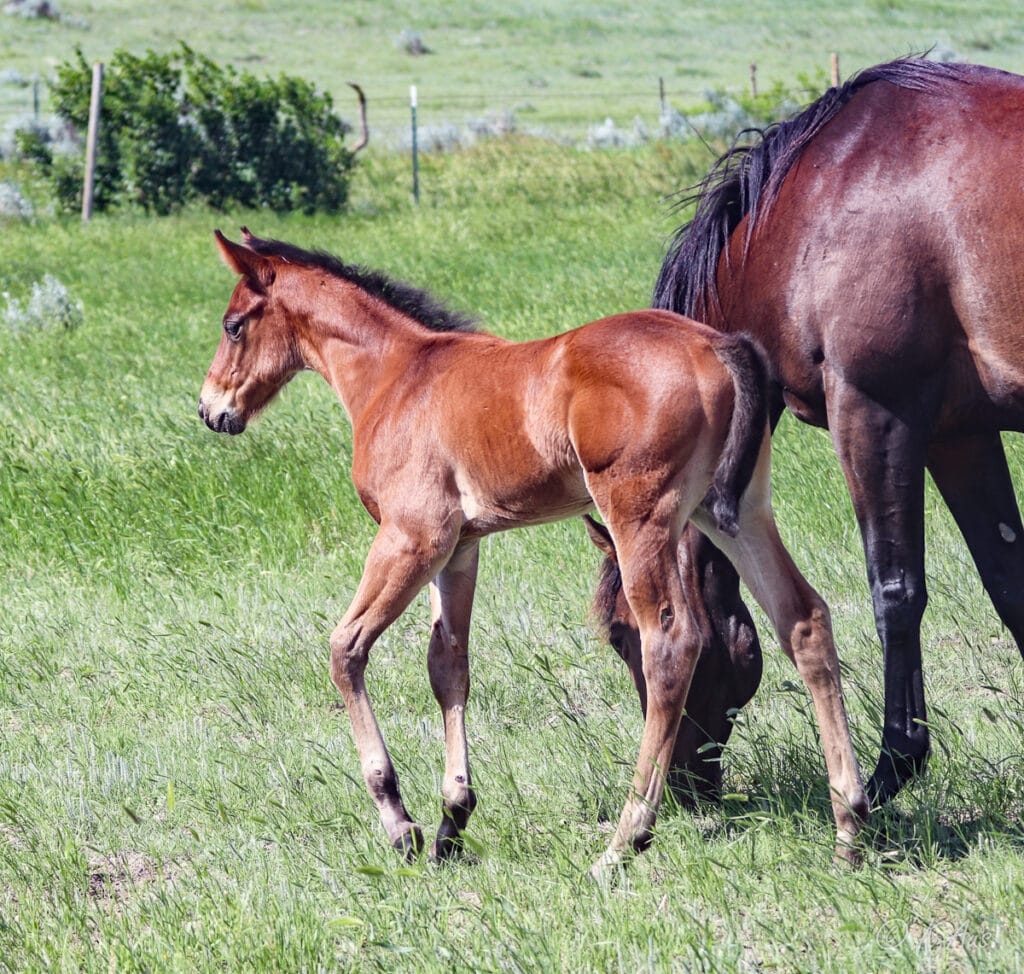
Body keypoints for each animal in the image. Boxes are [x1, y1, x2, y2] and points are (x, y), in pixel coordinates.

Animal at [197, 228, 864, 876]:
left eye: (232, 325)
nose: (211, 410)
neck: (397, 376)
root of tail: (722, 345)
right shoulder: (460, 548)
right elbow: (448, 664)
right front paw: (452, 819)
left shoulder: (412, 537)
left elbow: (346, 649)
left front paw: (401, 824)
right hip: (735, 511)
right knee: (804, 618)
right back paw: (849, 828)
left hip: (640, 516)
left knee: (673, 643)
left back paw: (624, 841)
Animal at [598, 57, 1024, 811]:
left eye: (624, 636)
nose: (677, 789)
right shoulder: (960, 434)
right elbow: (1010, 581)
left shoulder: (875, 415)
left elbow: (896, 589)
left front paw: (889, 770)